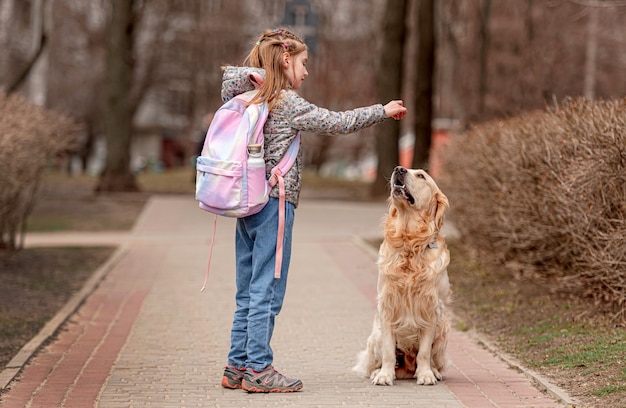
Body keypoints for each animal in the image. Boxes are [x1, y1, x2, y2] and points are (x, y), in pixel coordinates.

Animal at [352, 165, 448, 386]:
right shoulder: (387, 307)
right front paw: (385, 375)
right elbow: (389, 352)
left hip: (443, 328)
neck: (410, 242)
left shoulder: (430, 309)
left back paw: (434, 371)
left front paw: (426, 374)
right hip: (376, 334)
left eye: (421, 175)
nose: (399, 169)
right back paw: (377, 372)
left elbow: (424, 352)